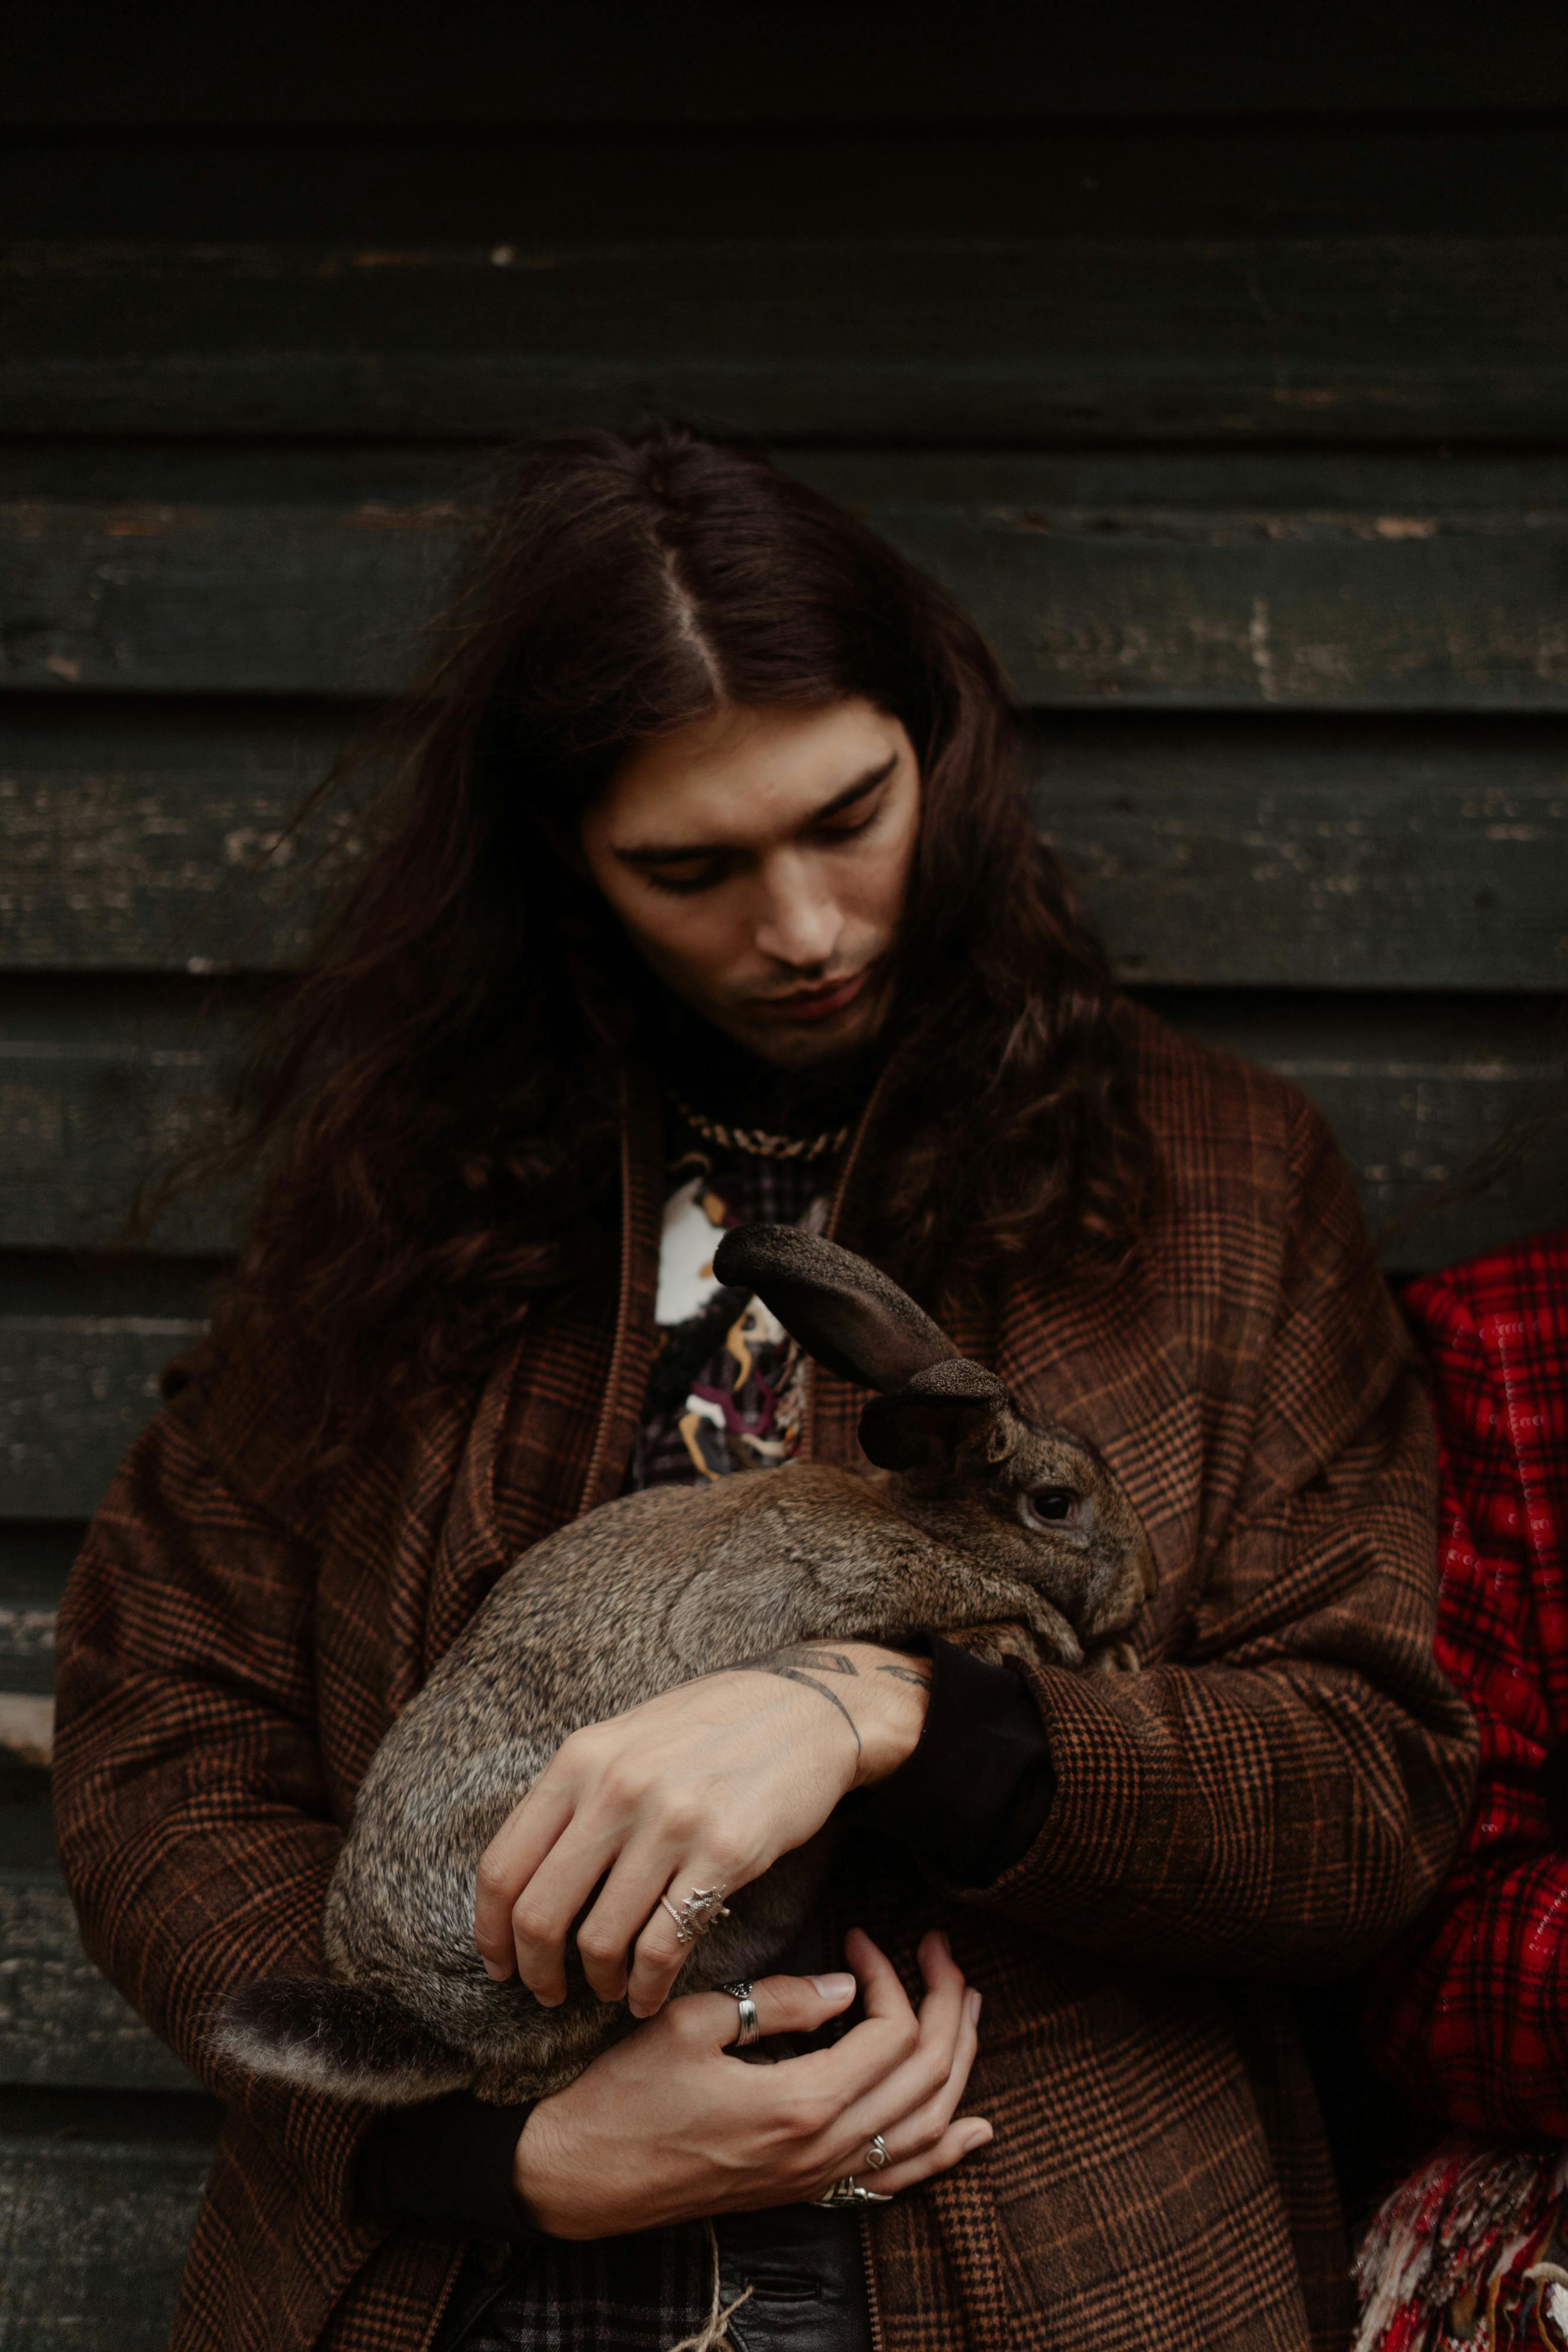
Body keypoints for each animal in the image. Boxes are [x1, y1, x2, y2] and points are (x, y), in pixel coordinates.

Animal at [211, 1223, 1152, 2107]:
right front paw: (1050, 1642)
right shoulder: (812, 1584)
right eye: (1055, 1504)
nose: (1138, 1590)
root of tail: (422, 2014)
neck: (928, 1522)